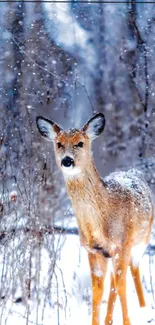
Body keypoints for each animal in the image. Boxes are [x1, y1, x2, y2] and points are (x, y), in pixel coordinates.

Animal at [36, 113, 154, 324]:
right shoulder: (93, 250)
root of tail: (133, 172)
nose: (67, 160)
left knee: (133, 270)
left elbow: (121, 286)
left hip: (142, 240)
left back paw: (142, 307)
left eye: (80, 143)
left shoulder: (123, 244)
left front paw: (127, 321)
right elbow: (97, 291)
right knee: (115, 280)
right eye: (59, 144)